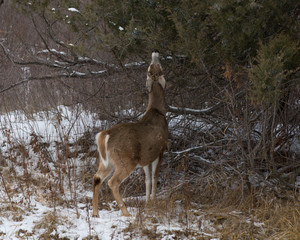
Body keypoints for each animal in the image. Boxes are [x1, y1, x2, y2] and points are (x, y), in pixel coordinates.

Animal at [92, 51, 169, 217]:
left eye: (151, 67)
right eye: (157, 67)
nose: (155, 53)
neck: (157, 111)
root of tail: (105, 135)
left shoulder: (146, 157)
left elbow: (147, 179)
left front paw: (147, 202)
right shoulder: (160, 150)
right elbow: (154, 177)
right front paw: (153, 201)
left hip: (107, 161)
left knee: (97, 178)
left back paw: (95, 213)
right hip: (126, 160)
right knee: (112, 182)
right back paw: (126, 212)